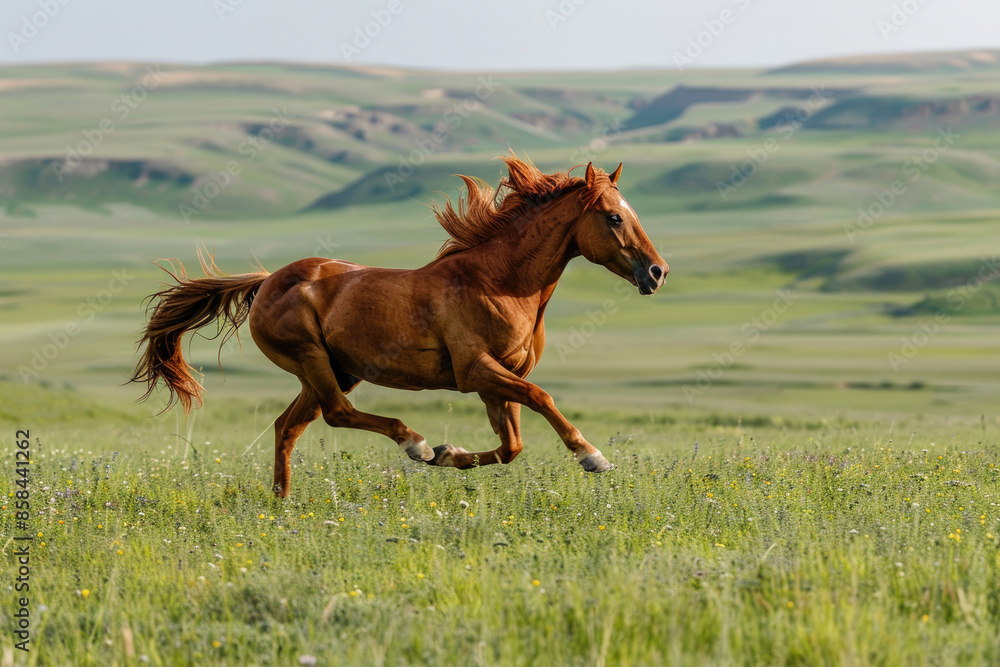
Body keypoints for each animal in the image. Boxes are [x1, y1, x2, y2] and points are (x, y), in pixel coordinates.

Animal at [131, 156, 668, 497]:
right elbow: (542, 397)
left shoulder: (498, 380)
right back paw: (414, 442)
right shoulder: (476, 371)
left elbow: (511, 445)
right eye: (614, 217)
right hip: (313, 359)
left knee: (289, 426)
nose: (657, 272)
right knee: (337, 414)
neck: (500, 282)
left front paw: (450, 455)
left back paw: (281, 503)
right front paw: (592, 456)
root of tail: (266, 282)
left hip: (333, 370)